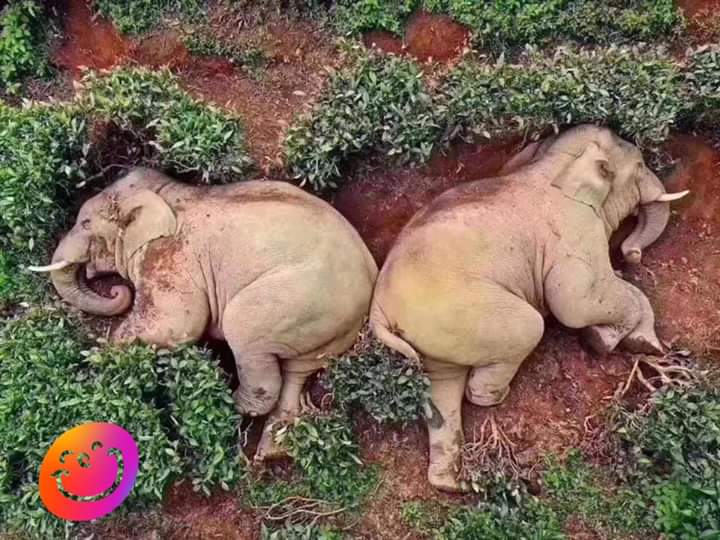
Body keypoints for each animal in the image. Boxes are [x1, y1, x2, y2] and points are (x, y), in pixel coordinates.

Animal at [30, 168, 378, 460]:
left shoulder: (171, 257)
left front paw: (97, 358)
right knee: (297, 370)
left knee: (245, 333)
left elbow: (176, 325)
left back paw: (226, 405)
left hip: (298, 300)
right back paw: (271, 452)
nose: (118, 291)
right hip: (326, 327)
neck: (166, 192)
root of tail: (370, 281)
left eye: (85, 223)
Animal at [369, 125, 689, 491]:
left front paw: (639, 342)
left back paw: (452, 483)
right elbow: (574, 303)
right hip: (461, 312)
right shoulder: (574, 232)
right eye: (638, 166)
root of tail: (378, 311)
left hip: (431, 334)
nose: (630, 253)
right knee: (528, 328)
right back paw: (494, 398)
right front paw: (606, 341)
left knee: (443, 385)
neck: (550, 164)